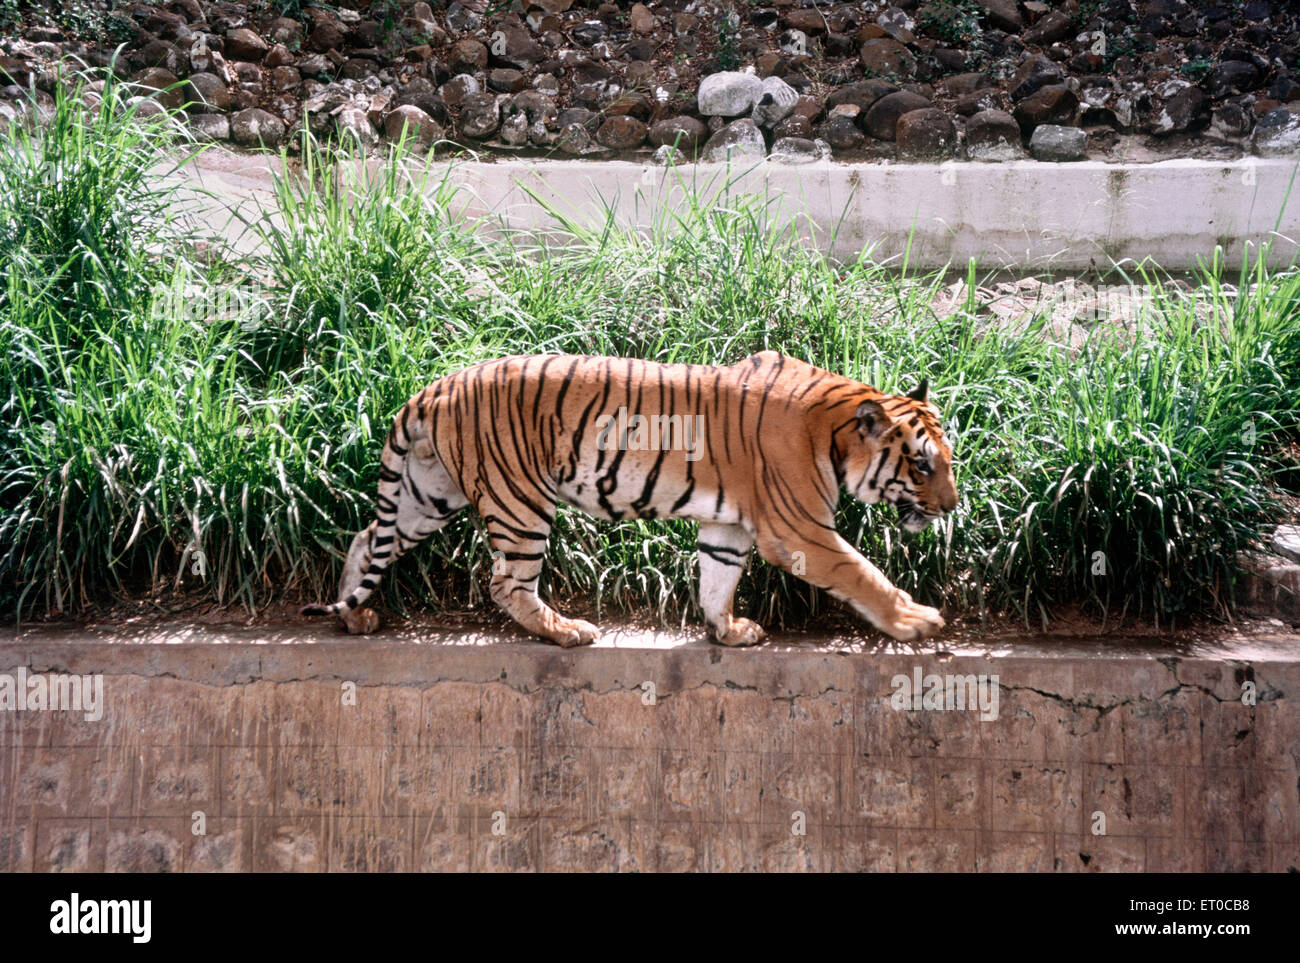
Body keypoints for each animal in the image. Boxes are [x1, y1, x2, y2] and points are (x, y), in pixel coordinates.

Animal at [301, 350, 956, 647]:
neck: (834, 429)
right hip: (520, 500)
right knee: (506, 582)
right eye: (922, 464)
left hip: (427, 494)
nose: (952, 507)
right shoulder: (800, 530)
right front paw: (916, 620)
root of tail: (434, 387)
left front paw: (728, 630)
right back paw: (567, 630)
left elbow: (717, 581)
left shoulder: (729, 528)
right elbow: (862, 573)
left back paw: (355, 617)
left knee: (366, 539)